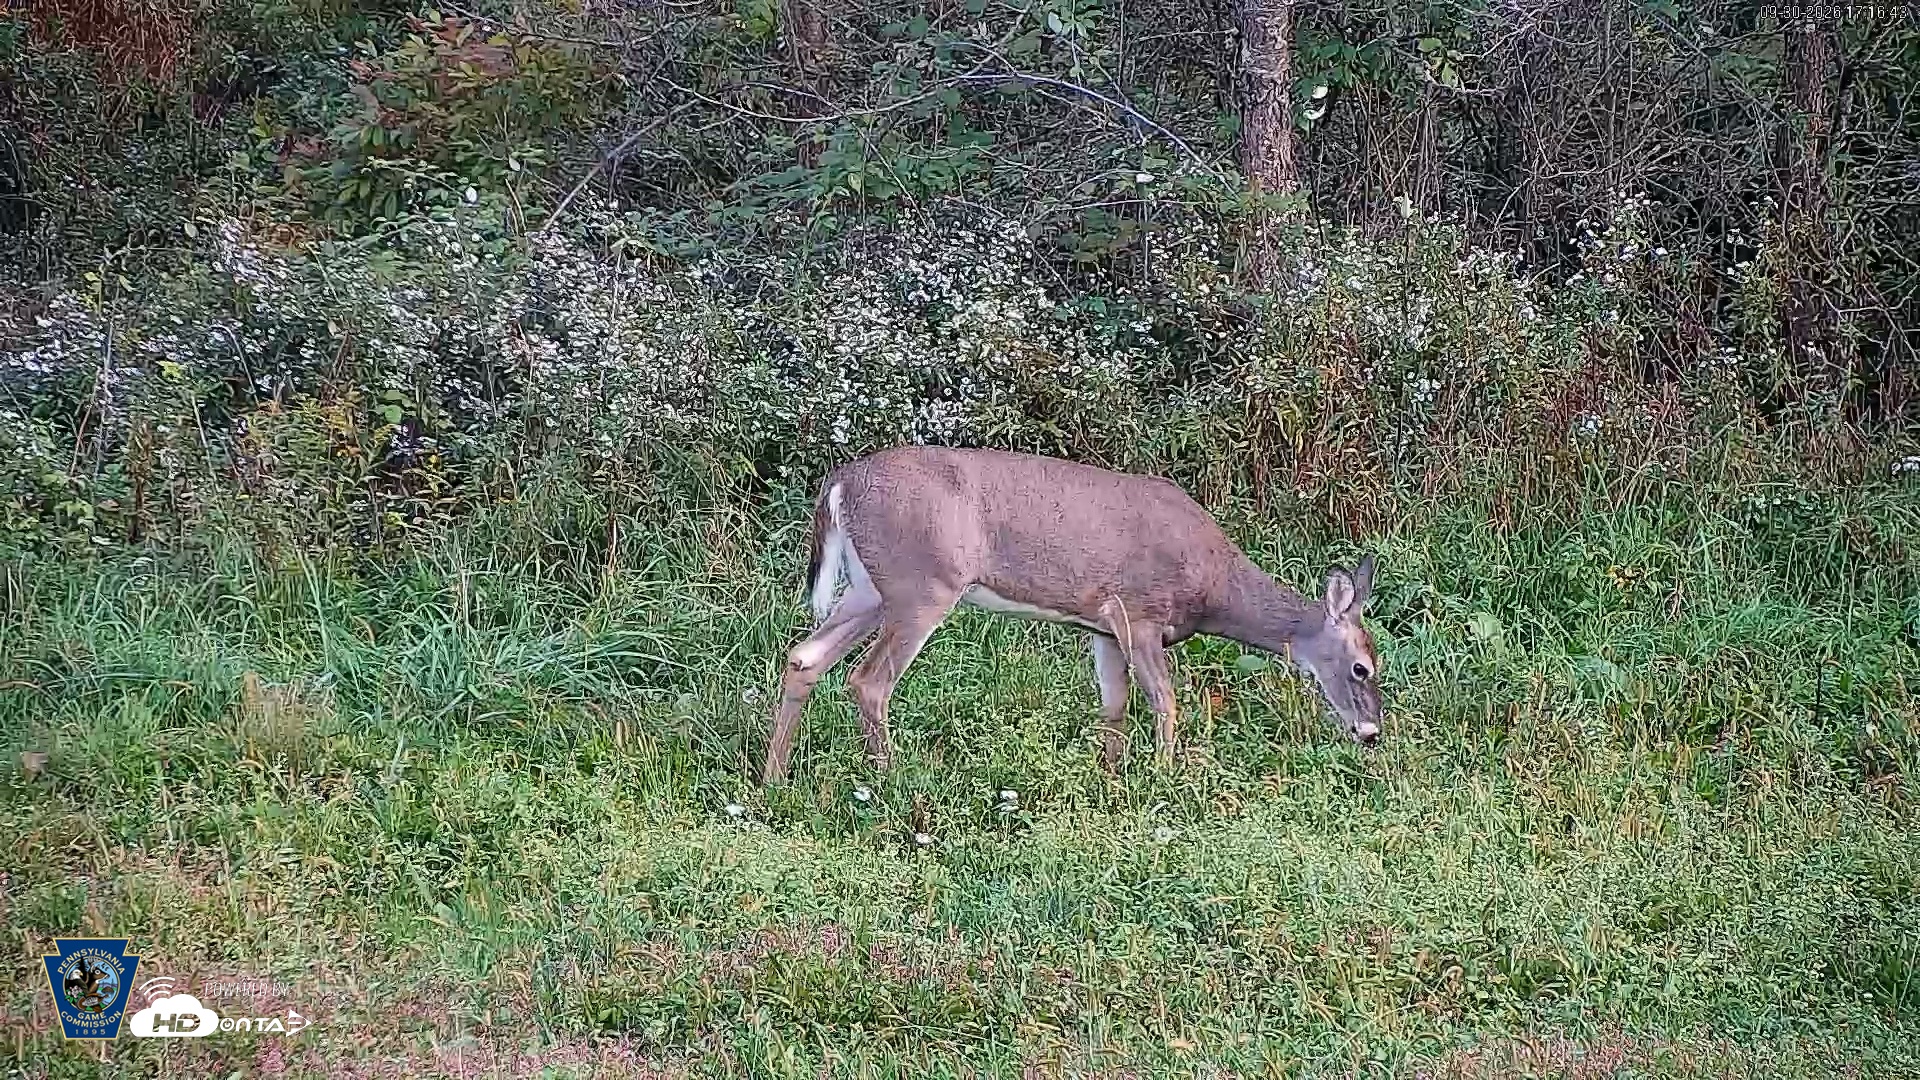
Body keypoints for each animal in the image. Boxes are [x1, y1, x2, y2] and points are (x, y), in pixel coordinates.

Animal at [760, 446, 1382, 782]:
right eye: (1362, 668)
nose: (1371, 733)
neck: (1212, 586)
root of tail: (841, 482)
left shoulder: (1100, 626)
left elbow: (1114, 707)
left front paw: (1112, 776)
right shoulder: (1137, 610)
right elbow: (1165, 699)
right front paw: (1164, 776)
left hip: (871, 588)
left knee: (804, 656)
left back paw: (774, 777)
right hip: (922, 584)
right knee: (869, 680)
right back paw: (890, 778)